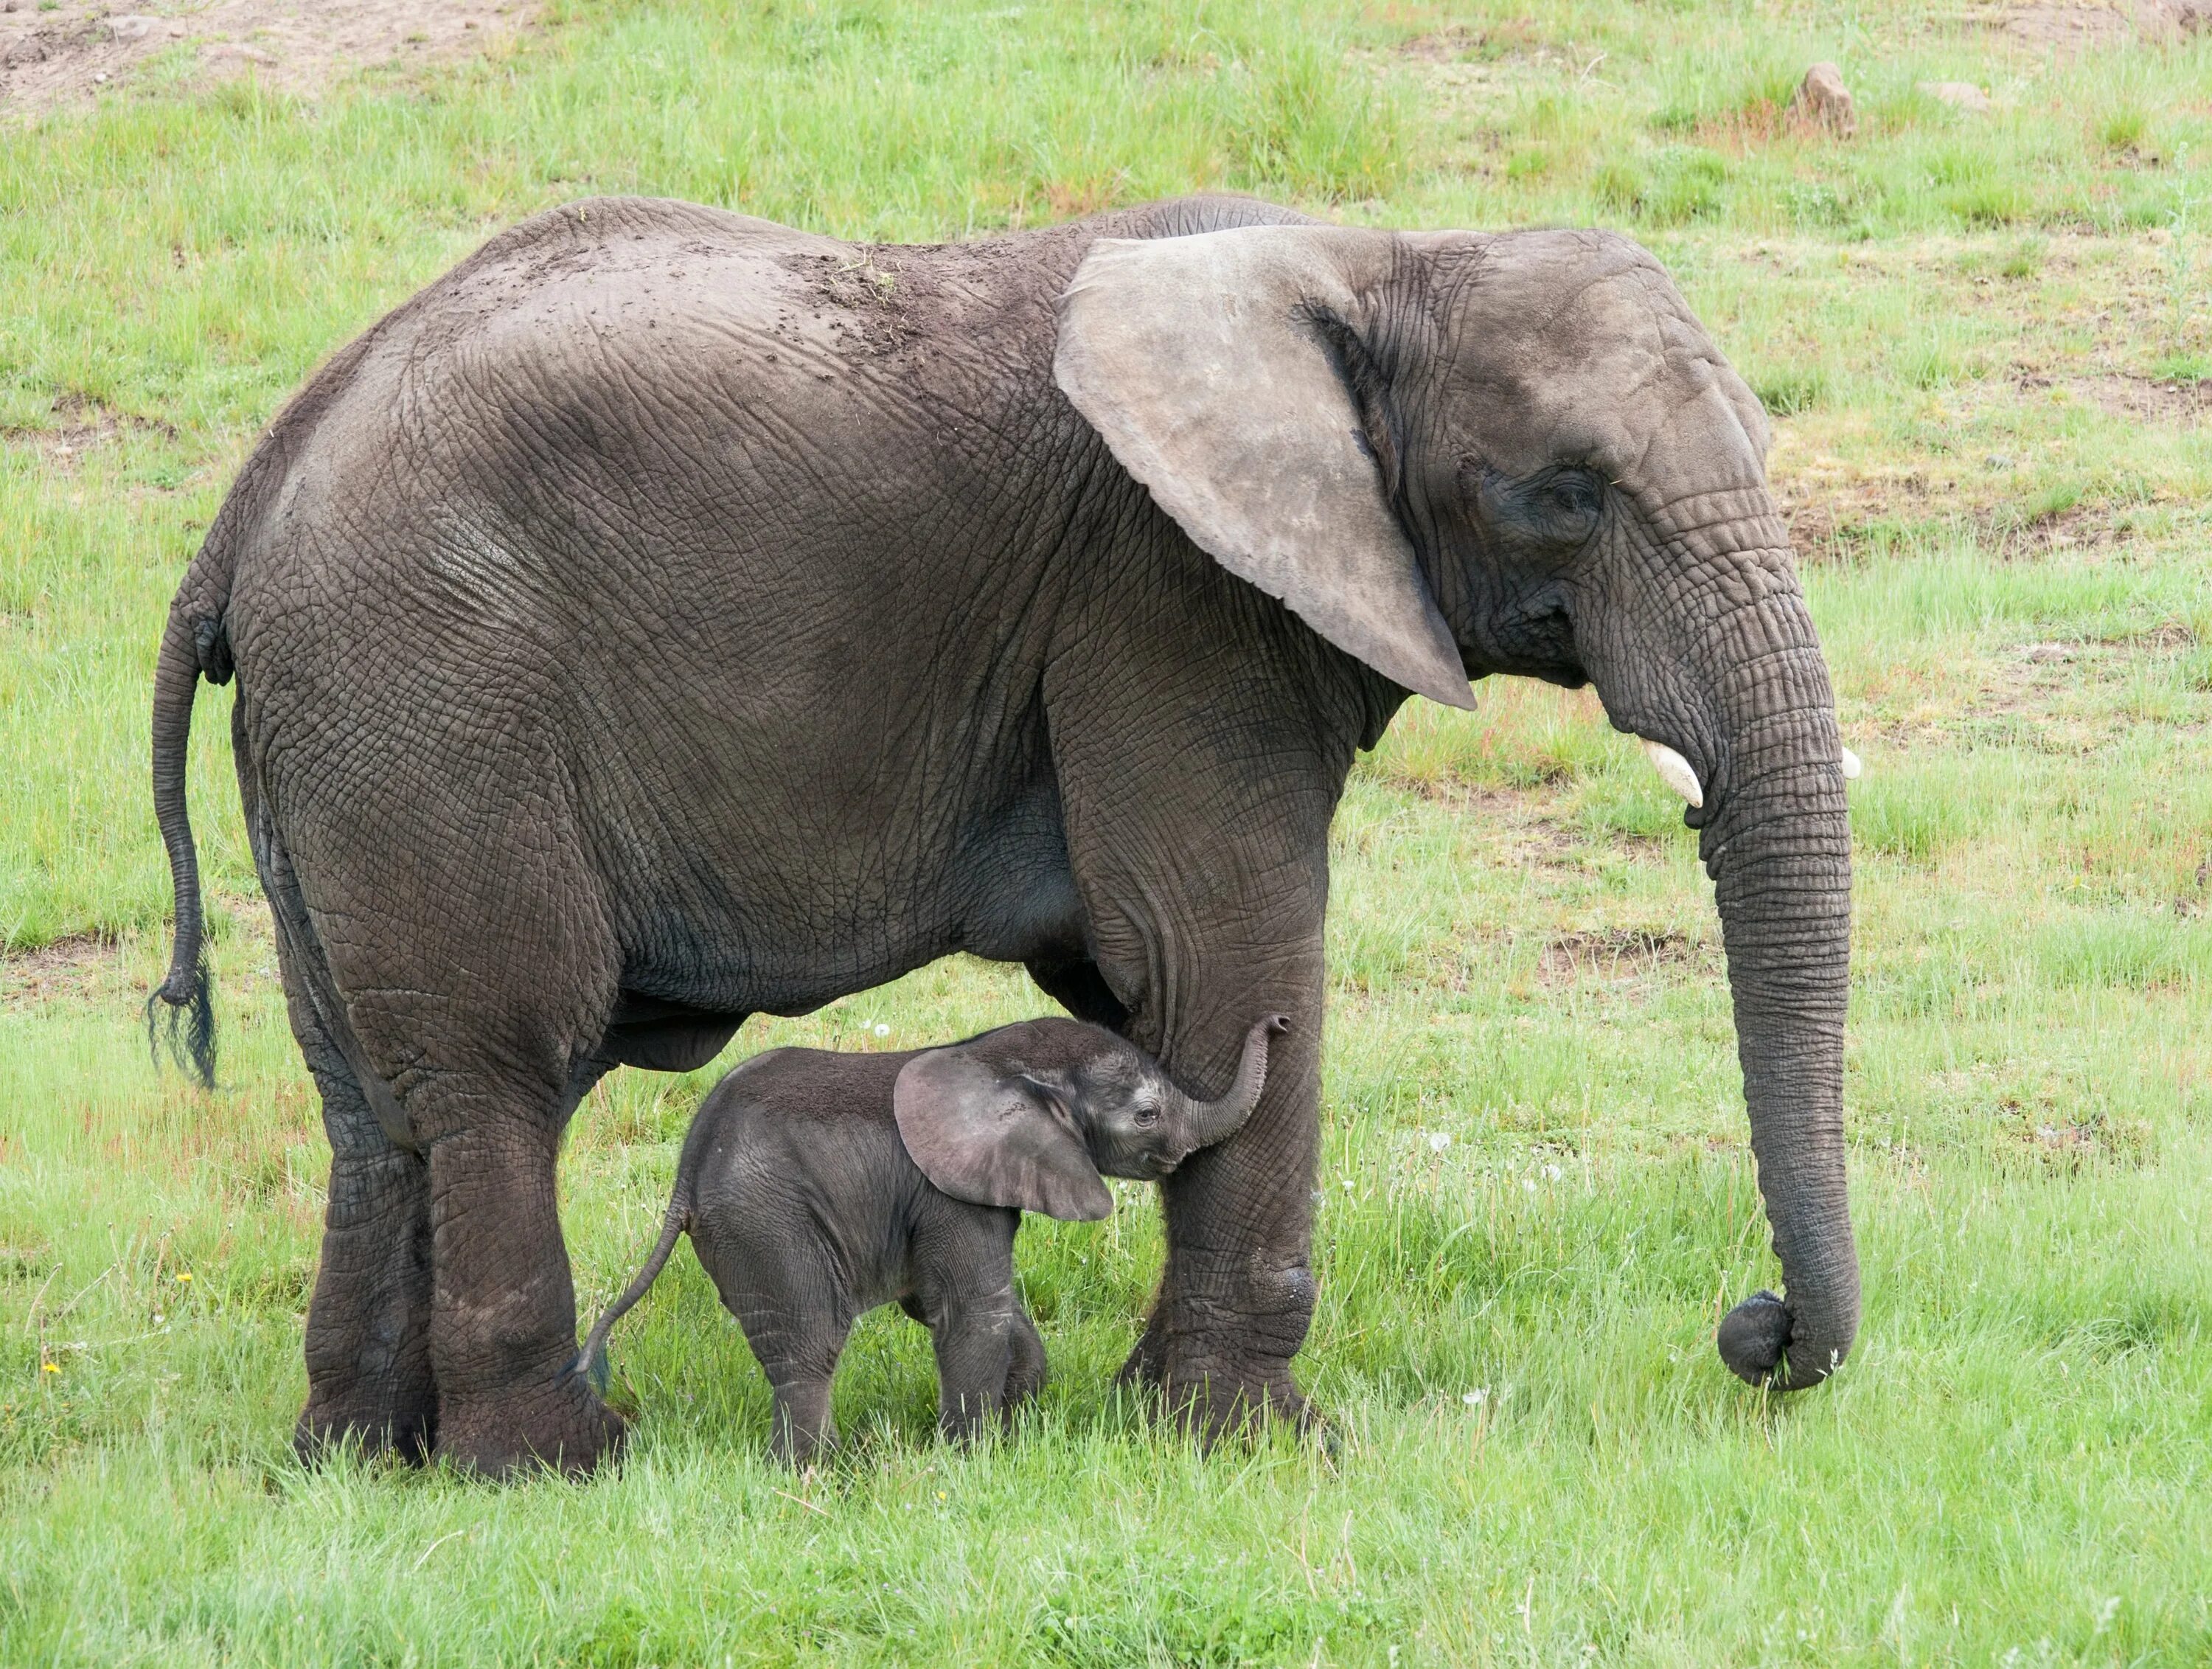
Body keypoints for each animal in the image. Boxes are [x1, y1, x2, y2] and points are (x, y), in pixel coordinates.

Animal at [580, 1009, 1292, 1451]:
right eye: (1147, 1114)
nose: (1281, 1021)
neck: (997, 1053)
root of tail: (688, 1171)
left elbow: (948, 1304)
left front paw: (1018, 1414)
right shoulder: (950, 1193)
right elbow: (972, 1309)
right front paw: (975, 1459)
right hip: (767, 1219)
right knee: (810, 1346)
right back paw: (821, 1477)